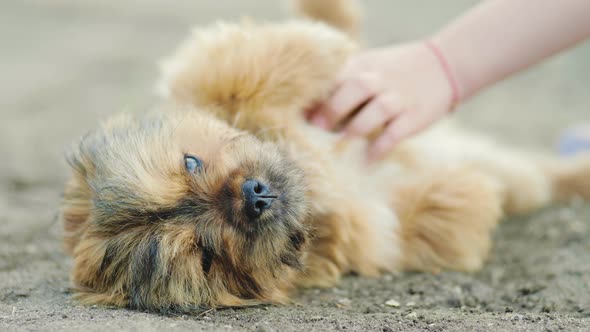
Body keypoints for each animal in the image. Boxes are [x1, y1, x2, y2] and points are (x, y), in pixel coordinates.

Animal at [59, 0, 590, 312]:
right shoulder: (391, 234)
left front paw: (325, 46)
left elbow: (250, 67)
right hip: (521, 178)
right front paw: (461, 189)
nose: (254, 197)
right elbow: (428, 217)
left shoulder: (214, 77)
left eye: (191, 162)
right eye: (206, 256)